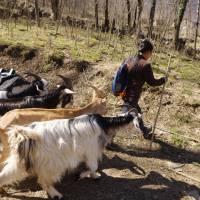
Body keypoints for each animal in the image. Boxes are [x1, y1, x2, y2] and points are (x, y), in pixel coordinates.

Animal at [0, 109, 141, 198]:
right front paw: (88, 175)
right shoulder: (91, 151)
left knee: (5, 175)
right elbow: (93, 166)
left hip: (20, 162)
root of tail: (26, 136)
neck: (103, 124)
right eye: (137, 122)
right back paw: (56, 194)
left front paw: (87, 175)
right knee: (44, 181)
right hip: (51, 164)